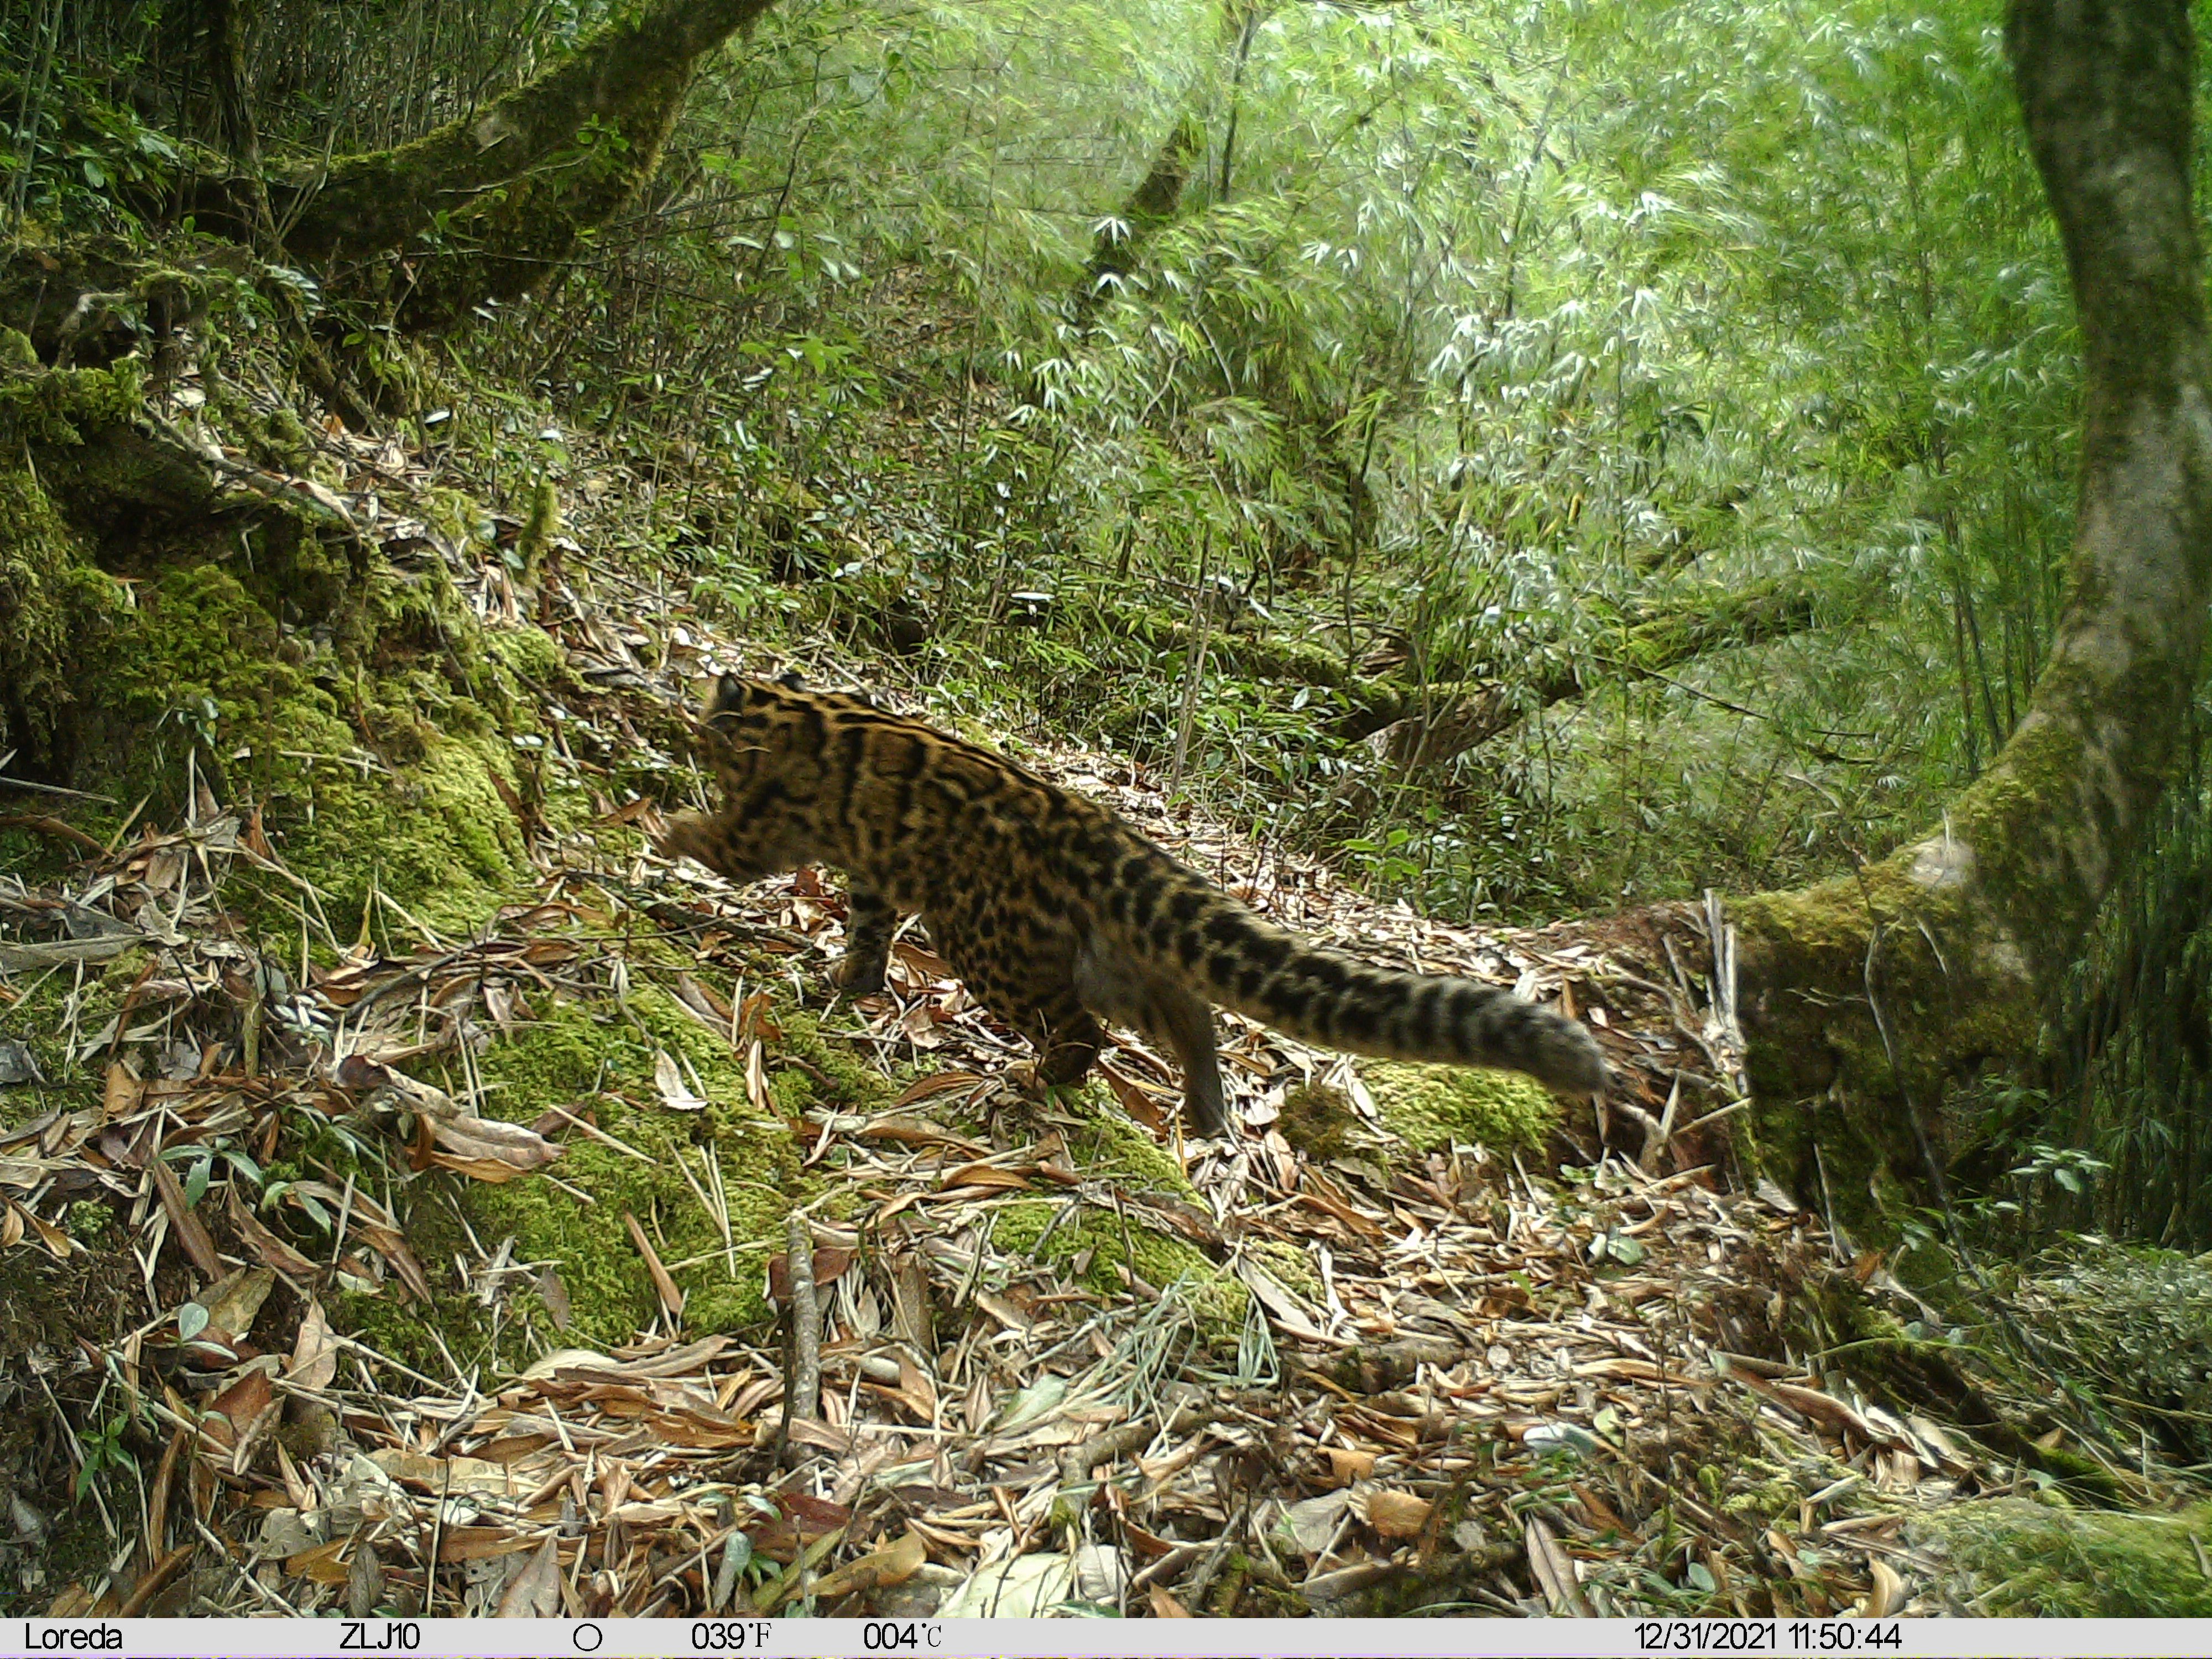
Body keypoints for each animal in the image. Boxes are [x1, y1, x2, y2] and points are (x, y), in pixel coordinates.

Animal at [655, 668, 1610, 1141]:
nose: (690, 728)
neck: (790, 706)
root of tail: (1093, 826)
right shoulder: (875, 872)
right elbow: (865, 929)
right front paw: (849, 983)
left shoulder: (766, 829)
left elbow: (722, 843)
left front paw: (662, 830)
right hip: (1097, 953)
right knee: (1186, 1012)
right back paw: (1208, 1107)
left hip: (993, 946)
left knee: (1085, 1035)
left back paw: (1029, 1084)